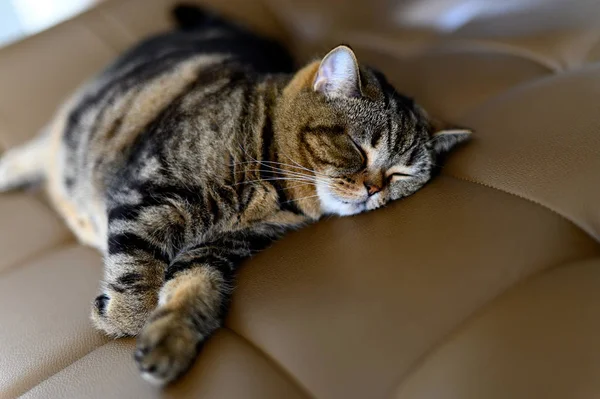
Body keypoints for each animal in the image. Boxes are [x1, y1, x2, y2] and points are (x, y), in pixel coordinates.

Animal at [0, 2, 472, 384]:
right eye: (357, 147)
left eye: (400, 174)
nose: (374, 189)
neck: (269, 181)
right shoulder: (148, 196)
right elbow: (137, 272)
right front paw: (123, 317)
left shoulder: (218, 248)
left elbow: (194, 290)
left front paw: (169, 340)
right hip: (73, 124)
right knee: (33, 150)